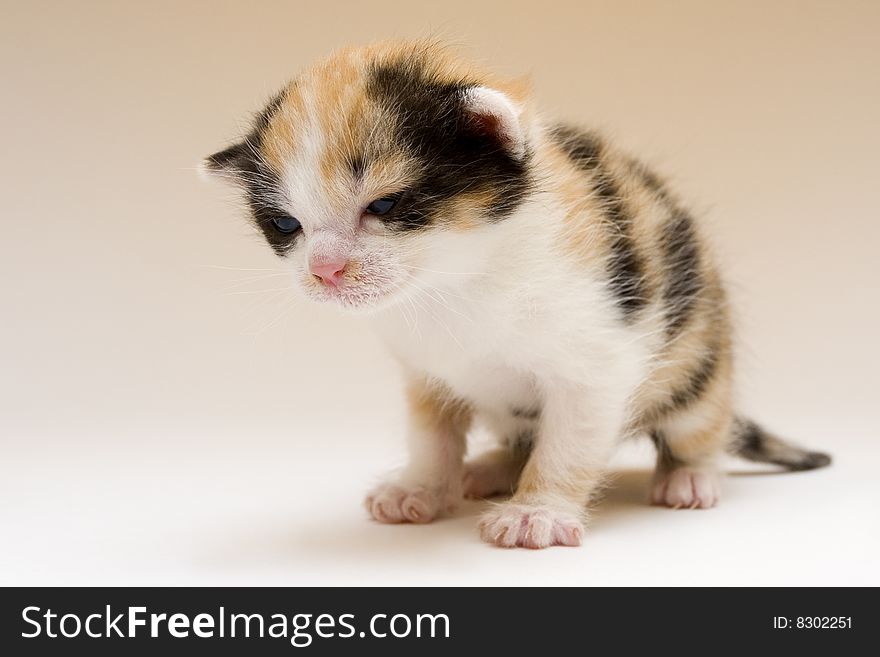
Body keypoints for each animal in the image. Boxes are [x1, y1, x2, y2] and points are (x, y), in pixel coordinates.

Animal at [203, 41, 828, 548]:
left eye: (384, 204)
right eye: (286, 225)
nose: (325, 271)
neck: (456, 282)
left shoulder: (599, 361)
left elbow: (569, 440)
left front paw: (538, 513)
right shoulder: (424, 371)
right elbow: (430, 434)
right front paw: (420, 489)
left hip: (700, 358)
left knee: (696, 426)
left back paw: (689, 477)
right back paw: (491, 469)